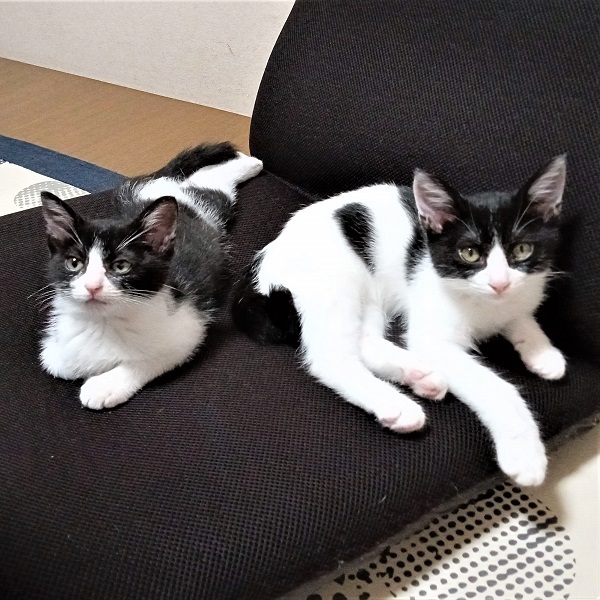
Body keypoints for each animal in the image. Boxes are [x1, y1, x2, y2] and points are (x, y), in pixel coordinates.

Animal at [39, 142, 263, 410]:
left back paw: (250, 162)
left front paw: (105, 385)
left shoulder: (188, 328)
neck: (102, 322)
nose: (92, 286)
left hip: (210, 209)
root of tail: (161, 186)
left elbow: (152, 357)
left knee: (214, 187)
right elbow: (56, 362)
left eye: (121, 266)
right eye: (74, 263)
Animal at [232, 156, 567, 486]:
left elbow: (521, 316)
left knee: (363, 341)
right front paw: (525, 453)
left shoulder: (520, 295)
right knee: (331, 358)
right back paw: (396, 404)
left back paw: (420, 375)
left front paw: (543, 352)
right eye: (470, 253)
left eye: (522, 249)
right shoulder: (432, 336)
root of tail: (264, 262)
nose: (500, 283)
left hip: (369, 295)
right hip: (333, 283)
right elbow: (495, 387)